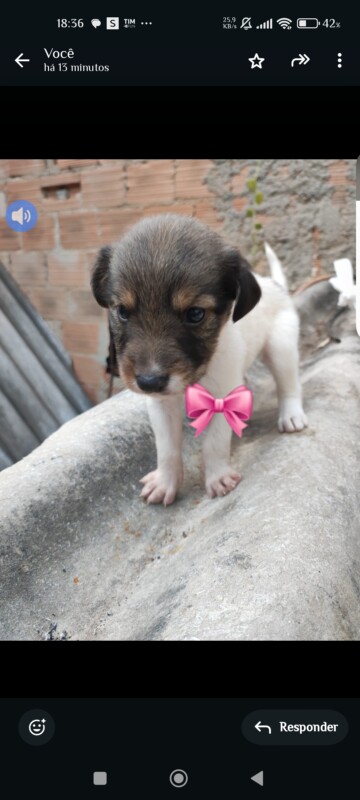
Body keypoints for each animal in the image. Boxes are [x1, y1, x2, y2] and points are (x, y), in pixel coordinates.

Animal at [91, 216, 308, 504]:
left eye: (195, 314)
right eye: (123, 312)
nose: (149, 382)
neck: (196, 376)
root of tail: (275, 285)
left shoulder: (221, 399)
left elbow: (214, 442)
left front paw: (218, 477)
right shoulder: (161, 406)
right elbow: (167, 448)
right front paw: (165, 482)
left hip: (281, 348)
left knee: (289, 385)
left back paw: (292, 415)